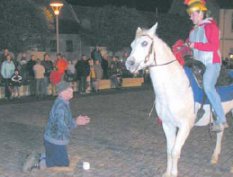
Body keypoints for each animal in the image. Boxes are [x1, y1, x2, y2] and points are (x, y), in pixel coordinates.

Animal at [125, 23, 233, 177]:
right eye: (132, 45)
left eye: (145, 43)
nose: (129, 63)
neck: (174, 87)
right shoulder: (168, 124)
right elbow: (169, 150)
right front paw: (167, 172)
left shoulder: (185, 126)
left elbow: (175, 151)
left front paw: (174, 173)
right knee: (220, 132)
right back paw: (214, 157)